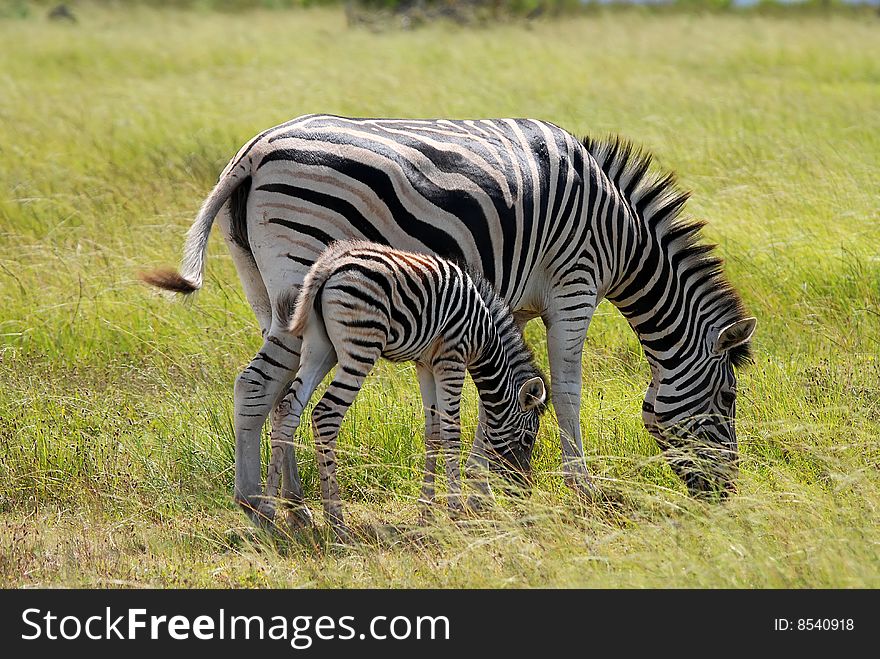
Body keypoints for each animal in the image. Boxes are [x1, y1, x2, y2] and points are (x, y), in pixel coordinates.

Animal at [262, 242, 544, 540]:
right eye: (528, 438)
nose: (525, 490)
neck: (485, 337)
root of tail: (328, 265)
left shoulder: (426, 365)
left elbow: (433, 433)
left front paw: (427, 511)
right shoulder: (452, 359)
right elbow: (452, 432)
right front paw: (455, 511)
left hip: (319, 346)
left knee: (287, 410)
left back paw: (268, 513)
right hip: (361, 345)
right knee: (326, 414)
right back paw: (336, 521)